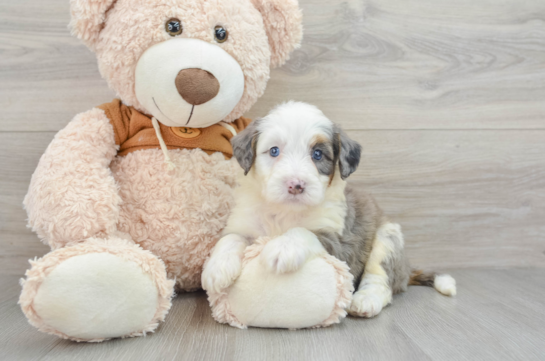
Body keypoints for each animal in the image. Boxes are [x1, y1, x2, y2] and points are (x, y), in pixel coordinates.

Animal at [201, 102, 454, 318]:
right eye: (274, 151)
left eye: (318, 154)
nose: (296, 185)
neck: (285, 212)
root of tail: (406, 270)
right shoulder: (245, 222)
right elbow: (230, 239)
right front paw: (216, 268)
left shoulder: (338, 241)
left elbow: (303, 231)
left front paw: (282, 247)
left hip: (388, 237)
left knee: (381, 279)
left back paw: (365, 300)